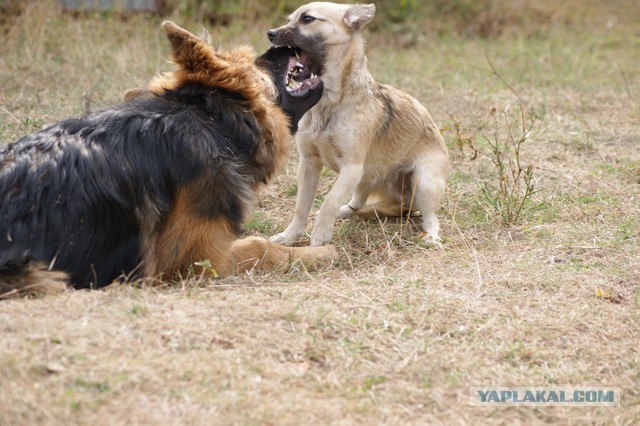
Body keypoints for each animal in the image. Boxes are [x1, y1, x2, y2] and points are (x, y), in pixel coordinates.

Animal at [0, 21, 338, 298]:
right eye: (258, 60)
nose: (277, 41)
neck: (215, 123)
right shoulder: (200, 259)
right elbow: (261, 245)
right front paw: (322, 253)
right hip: (38, 275)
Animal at [268, 1, 448, 246]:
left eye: (307, 19)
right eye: (289, 20)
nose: (270, 33)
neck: (328, 104)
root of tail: (402, 202)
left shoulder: (351, 168)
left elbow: (329, 200)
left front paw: (319, 238)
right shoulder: (309, 163)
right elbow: (301, 207)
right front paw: (290, 237)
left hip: (423, 182)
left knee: (431, 217)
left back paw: (430, 236)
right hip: (365, 179)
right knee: (357, 203)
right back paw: (345, 211)